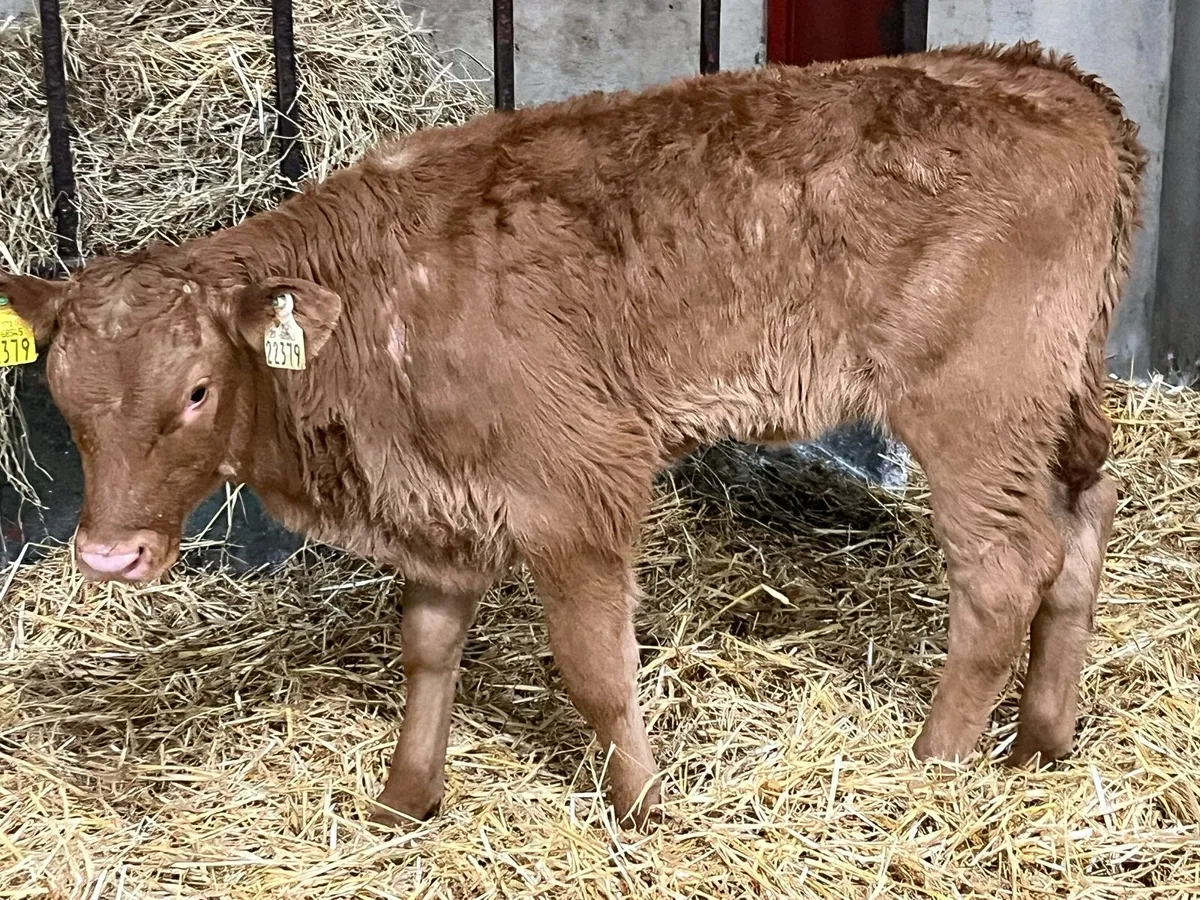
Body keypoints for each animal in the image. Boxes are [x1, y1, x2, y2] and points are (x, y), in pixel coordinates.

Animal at [0, 41, 1144, 828]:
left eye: (197, 391)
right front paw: (405, 798)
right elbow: (427, 650)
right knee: (1084, 516)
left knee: (1005, 569)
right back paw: (1041, 739)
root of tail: (1055, 82)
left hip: (974, 404)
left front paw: (643, 809)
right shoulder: (441, 504)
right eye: (62, 393)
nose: (107, 555)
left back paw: (933, 764)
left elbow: (595, 669)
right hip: (1053, 396)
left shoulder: (578, 483)